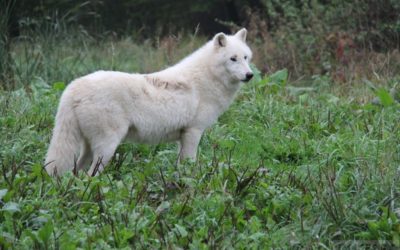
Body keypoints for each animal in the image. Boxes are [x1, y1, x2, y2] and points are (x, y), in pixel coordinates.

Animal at [45, 28, 253, 176]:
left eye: (245, 57)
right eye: (232, 59)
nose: (250, 75)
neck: (207, 79)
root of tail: (74, 87)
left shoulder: (183, 137)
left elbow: (180, 165)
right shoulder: (193, 132)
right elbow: (190, 163)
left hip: (88, 148)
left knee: (75, 173)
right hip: (107, 148)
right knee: (90, 176)